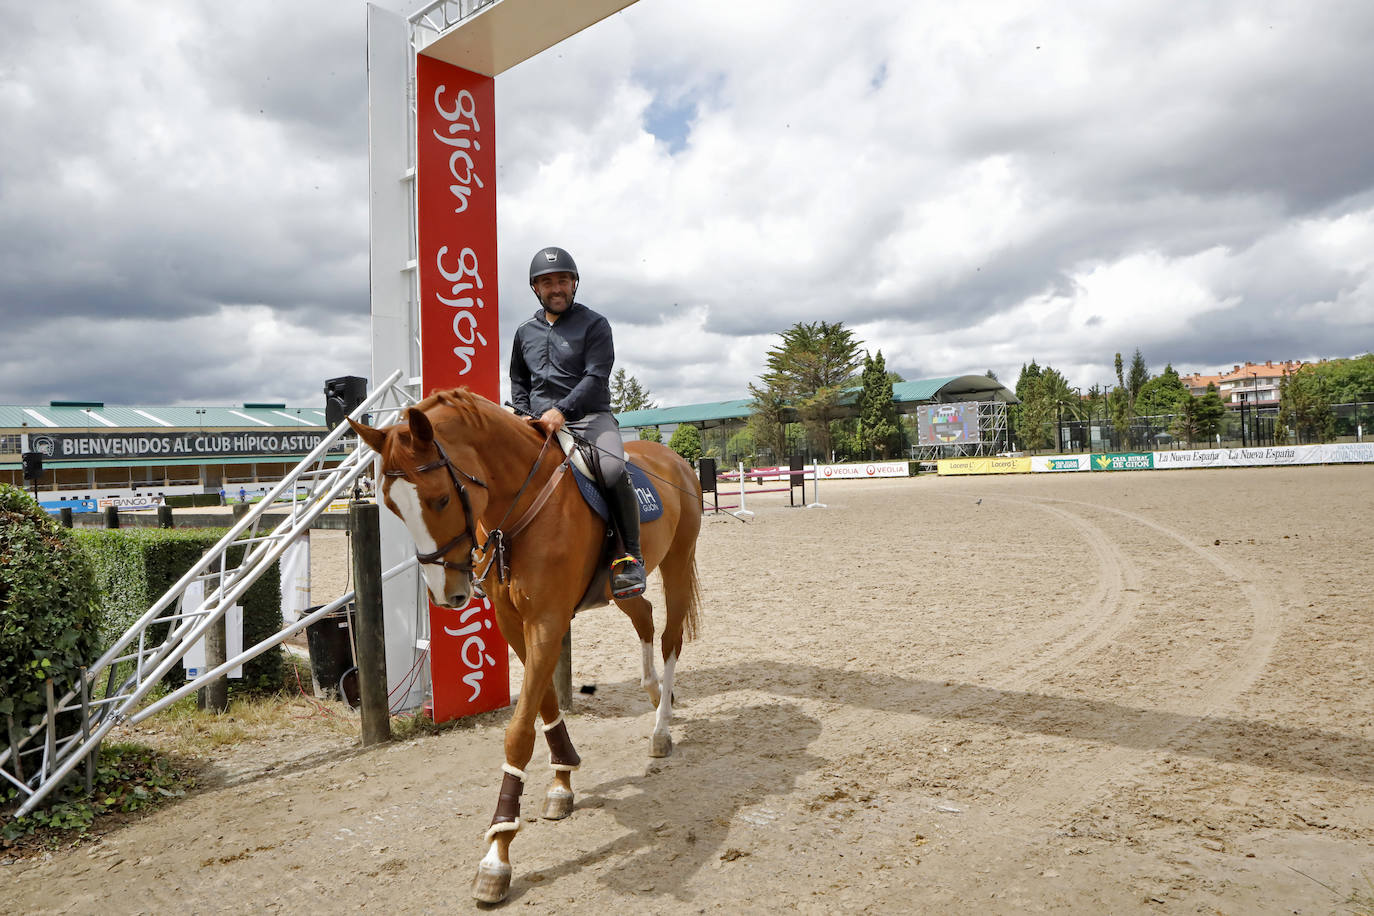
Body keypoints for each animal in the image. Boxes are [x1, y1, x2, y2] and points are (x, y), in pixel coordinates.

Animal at [348, 387, 703, 900]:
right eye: (393, 509)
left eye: (439, 500)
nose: (447, 595)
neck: (518, 509)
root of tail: (674, 458)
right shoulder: (515, 623)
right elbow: (545, 702)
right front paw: (562, 780)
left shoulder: (547, 621)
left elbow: (518, 732)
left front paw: (497, 852)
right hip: (621, 588)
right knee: (646, 617)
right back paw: (657, 696)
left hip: (677, 561)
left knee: (671, 638)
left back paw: (661, 729)